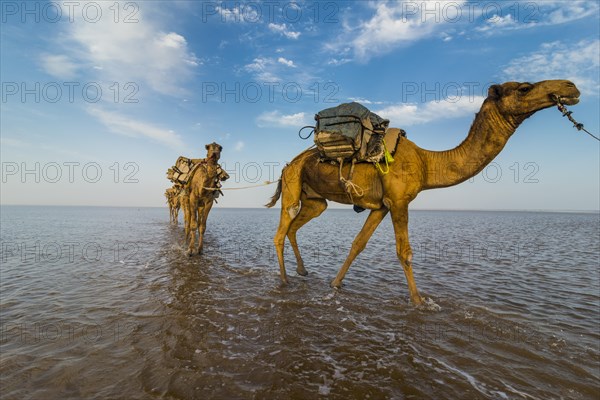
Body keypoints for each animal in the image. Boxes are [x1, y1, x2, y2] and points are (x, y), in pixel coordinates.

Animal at [264, 81, 580, 306]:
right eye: (524, 87)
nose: (571, 87)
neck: (428, 163)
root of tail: (288, 164)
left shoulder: (382, 206)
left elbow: (358, 244)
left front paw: (335, 284)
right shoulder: (399, 201)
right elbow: (404, 252)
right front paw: (419, 301)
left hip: (315, 200)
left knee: (294, 227)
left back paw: (302, 271)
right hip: (293, 184)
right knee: (280, 231)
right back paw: (284, 280)